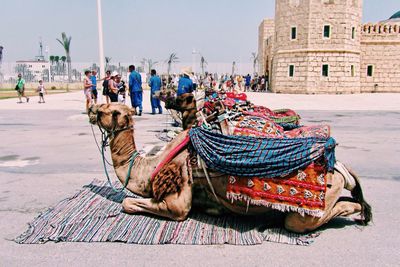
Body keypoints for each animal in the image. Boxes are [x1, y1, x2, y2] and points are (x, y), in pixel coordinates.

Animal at [88, 103, 372, 233]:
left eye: (107, 110)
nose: (90, 108)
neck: (150, 166)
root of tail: (341, 168)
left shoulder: (178, 198)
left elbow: (128, 203)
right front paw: (214, 209)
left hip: (306, 213)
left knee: (303, 220)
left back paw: (361, 213)